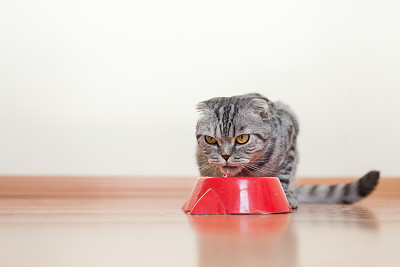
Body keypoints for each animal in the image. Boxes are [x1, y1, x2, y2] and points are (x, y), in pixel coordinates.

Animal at [195, 93, 380, 209]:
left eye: (242, 139)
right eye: (210, 140)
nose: (225, 156)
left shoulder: (290, 139)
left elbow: (283, 175)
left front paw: (284, 195)